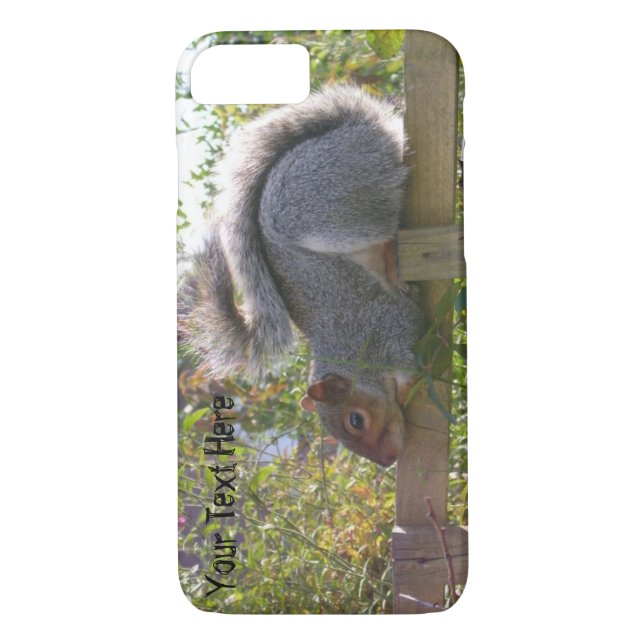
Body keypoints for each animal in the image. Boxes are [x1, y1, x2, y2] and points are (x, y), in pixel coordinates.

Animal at [179, 85, 421, 466]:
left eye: (355, 420)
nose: (386, 462)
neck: (351, 354)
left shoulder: (386, 326)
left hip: (326, 210)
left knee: (385, 228)